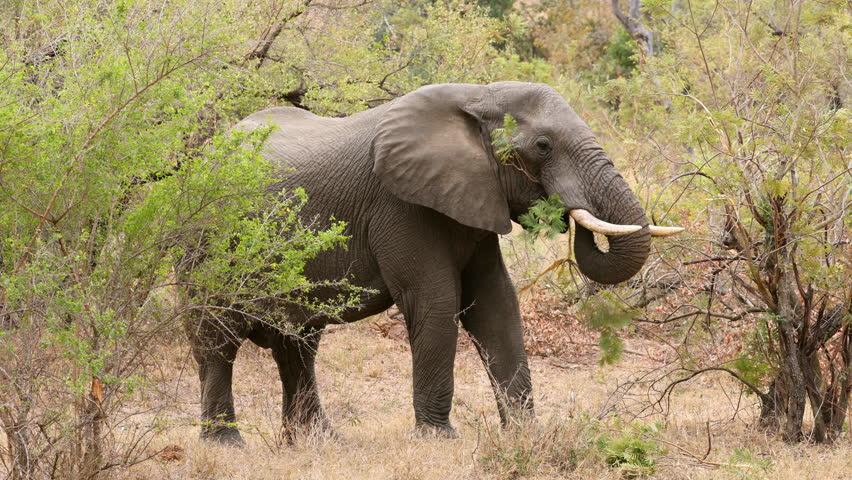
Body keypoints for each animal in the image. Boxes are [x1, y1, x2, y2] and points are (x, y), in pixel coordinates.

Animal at [187, 82, 682, 445]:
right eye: (543, 146)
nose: (567, 212)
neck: (479, 94)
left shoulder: (472, 200)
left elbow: (496, 305)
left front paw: (524, 435)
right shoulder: (400, 205)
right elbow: (436, 303)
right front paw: (440, 439)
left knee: (298, 344)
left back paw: (320, 444)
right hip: (204, 244)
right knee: (217, 340)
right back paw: (228, 444)